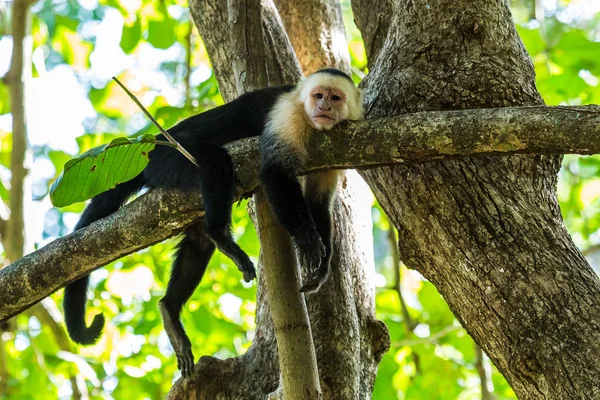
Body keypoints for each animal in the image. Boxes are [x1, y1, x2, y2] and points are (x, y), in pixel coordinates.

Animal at [62, 67, 360, 376]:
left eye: (335, 98)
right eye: (318, 95)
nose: (324, 108)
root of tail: (151, 146)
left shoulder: (332, 152)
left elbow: (318, 202)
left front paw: (323, 266)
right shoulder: (288, 114)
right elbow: (273, 173)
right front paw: (307, 240)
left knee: (198, 242)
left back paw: (170, 309)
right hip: (169, 158)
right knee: (216, 162)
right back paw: (221, 236)